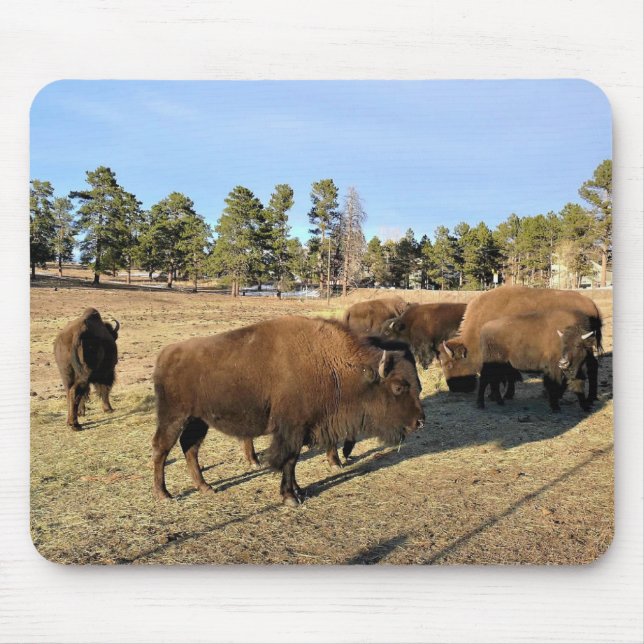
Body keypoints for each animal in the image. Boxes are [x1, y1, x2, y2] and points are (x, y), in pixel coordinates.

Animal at [152, 316, 425, 505]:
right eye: (398, 387)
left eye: (418, 385)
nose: (420, 421)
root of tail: (166, 354)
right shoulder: (292, 429)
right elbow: (289, 460)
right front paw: (290, 497)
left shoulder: (304, 428)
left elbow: (292, 462)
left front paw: (298, 490)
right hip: (174, 416)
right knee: (162, 448)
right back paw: (164, 494)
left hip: (199, 420)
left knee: (190, 448)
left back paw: (205, 487)